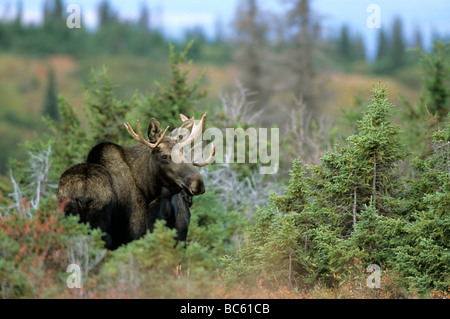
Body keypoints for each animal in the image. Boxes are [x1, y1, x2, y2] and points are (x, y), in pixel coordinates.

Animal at [56, 114, 214, 251]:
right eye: (164, 156)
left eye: (185, 154)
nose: (198, 183)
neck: (147, 188)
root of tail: (81, 197)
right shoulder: (135, 234)